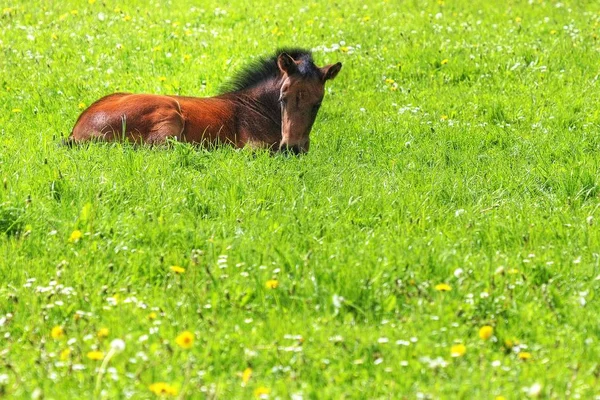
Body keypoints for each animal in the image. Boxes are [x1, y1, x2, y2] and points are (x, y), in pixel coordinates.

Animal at [69, 48, 342, 155]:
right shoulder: (253, 148)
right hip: (170, 115)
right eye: (283, 98)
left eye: (317, 104)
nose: (293, 148)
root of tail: (76, 132)